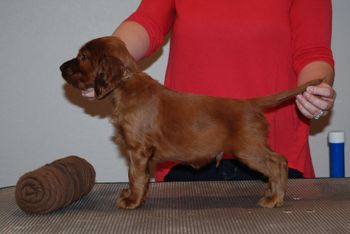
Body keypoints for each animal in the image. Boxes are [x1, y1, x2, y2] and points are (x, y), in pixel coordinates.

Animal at [59, 37, 320, 210]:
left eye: (83, 57)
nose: (61, 67)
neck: (126, 83)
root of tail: (250, 103)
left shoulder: (138, 149)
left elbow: (135, 175)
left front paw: (131, 201)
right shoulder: (145, 154)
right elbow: (143, 177)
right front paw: (138, 197)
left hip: (248, 149)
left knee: (278, 162)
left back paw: (274, 199)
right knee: (277, 162)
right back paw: (272, 191)